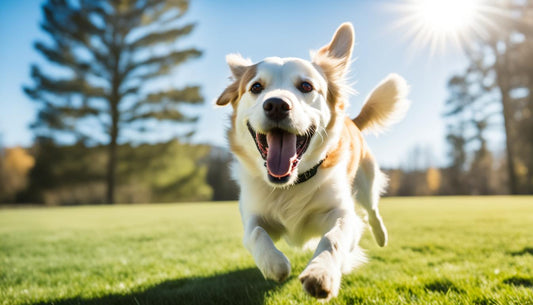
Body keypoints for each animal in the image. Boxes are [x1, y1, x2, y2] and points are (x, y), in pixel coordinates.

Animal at [214, 22, 410, 298]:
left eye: (306, 86)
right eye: (256, 87)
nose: (276, 105)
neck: (289, 185)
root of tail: (353, 122)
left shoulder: (341, 213)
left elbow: (333, 237)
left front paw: (322, 273)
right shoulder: (252, 213)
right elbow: (255, 233)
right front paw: (273, 263)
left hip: (367, 181)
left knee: (372, 210)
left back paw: (381, 236)